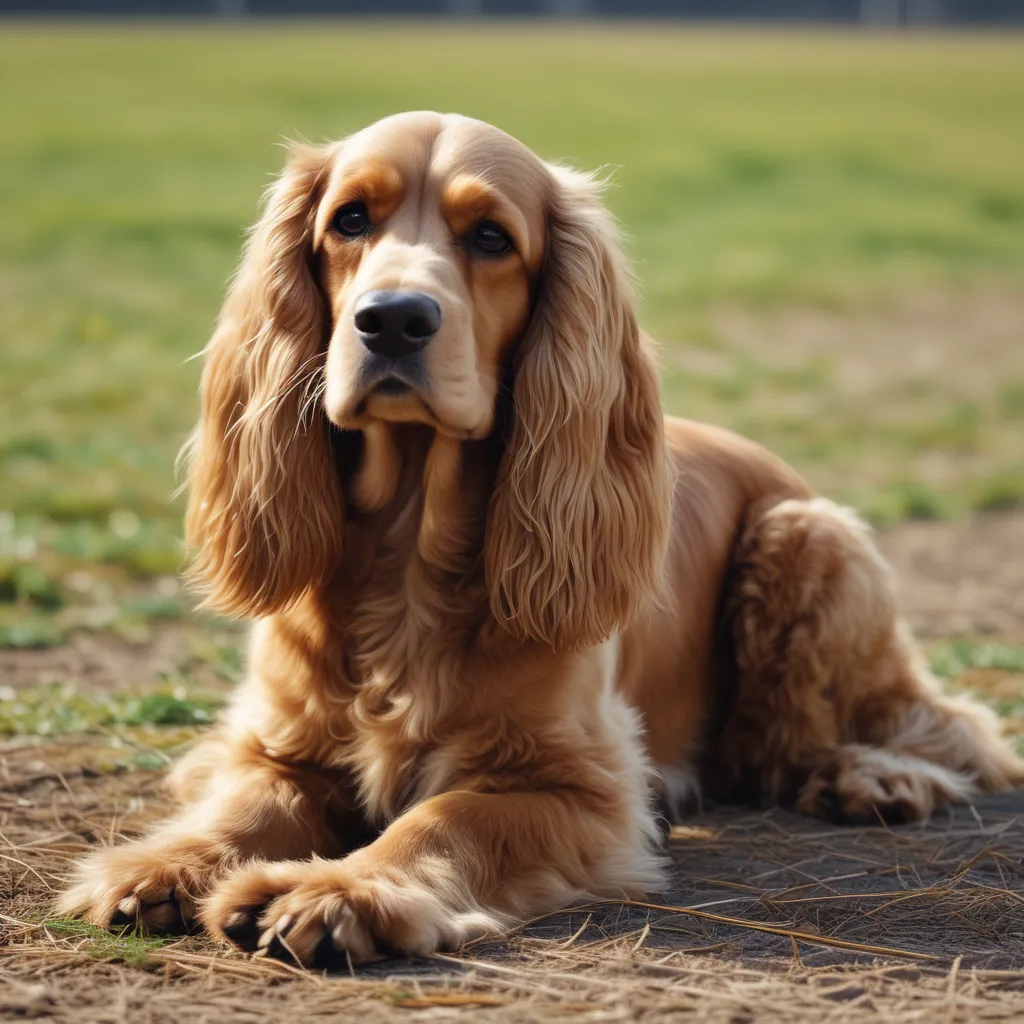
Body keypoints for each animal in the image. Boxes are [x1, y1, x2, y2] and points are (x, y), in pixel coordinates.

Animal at [58, 116, 1024, 962]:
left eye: (491, 237)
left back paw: (873, 776)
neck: (408, 549)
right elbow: (245, 805)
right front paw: (163, 864)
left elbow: (443, 820)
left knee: (927, 729)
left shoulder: (580, 786)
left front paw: (341, 892)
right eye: (350, 220)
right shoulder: (276, 743)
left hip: (806, 539)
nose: (393, 318)